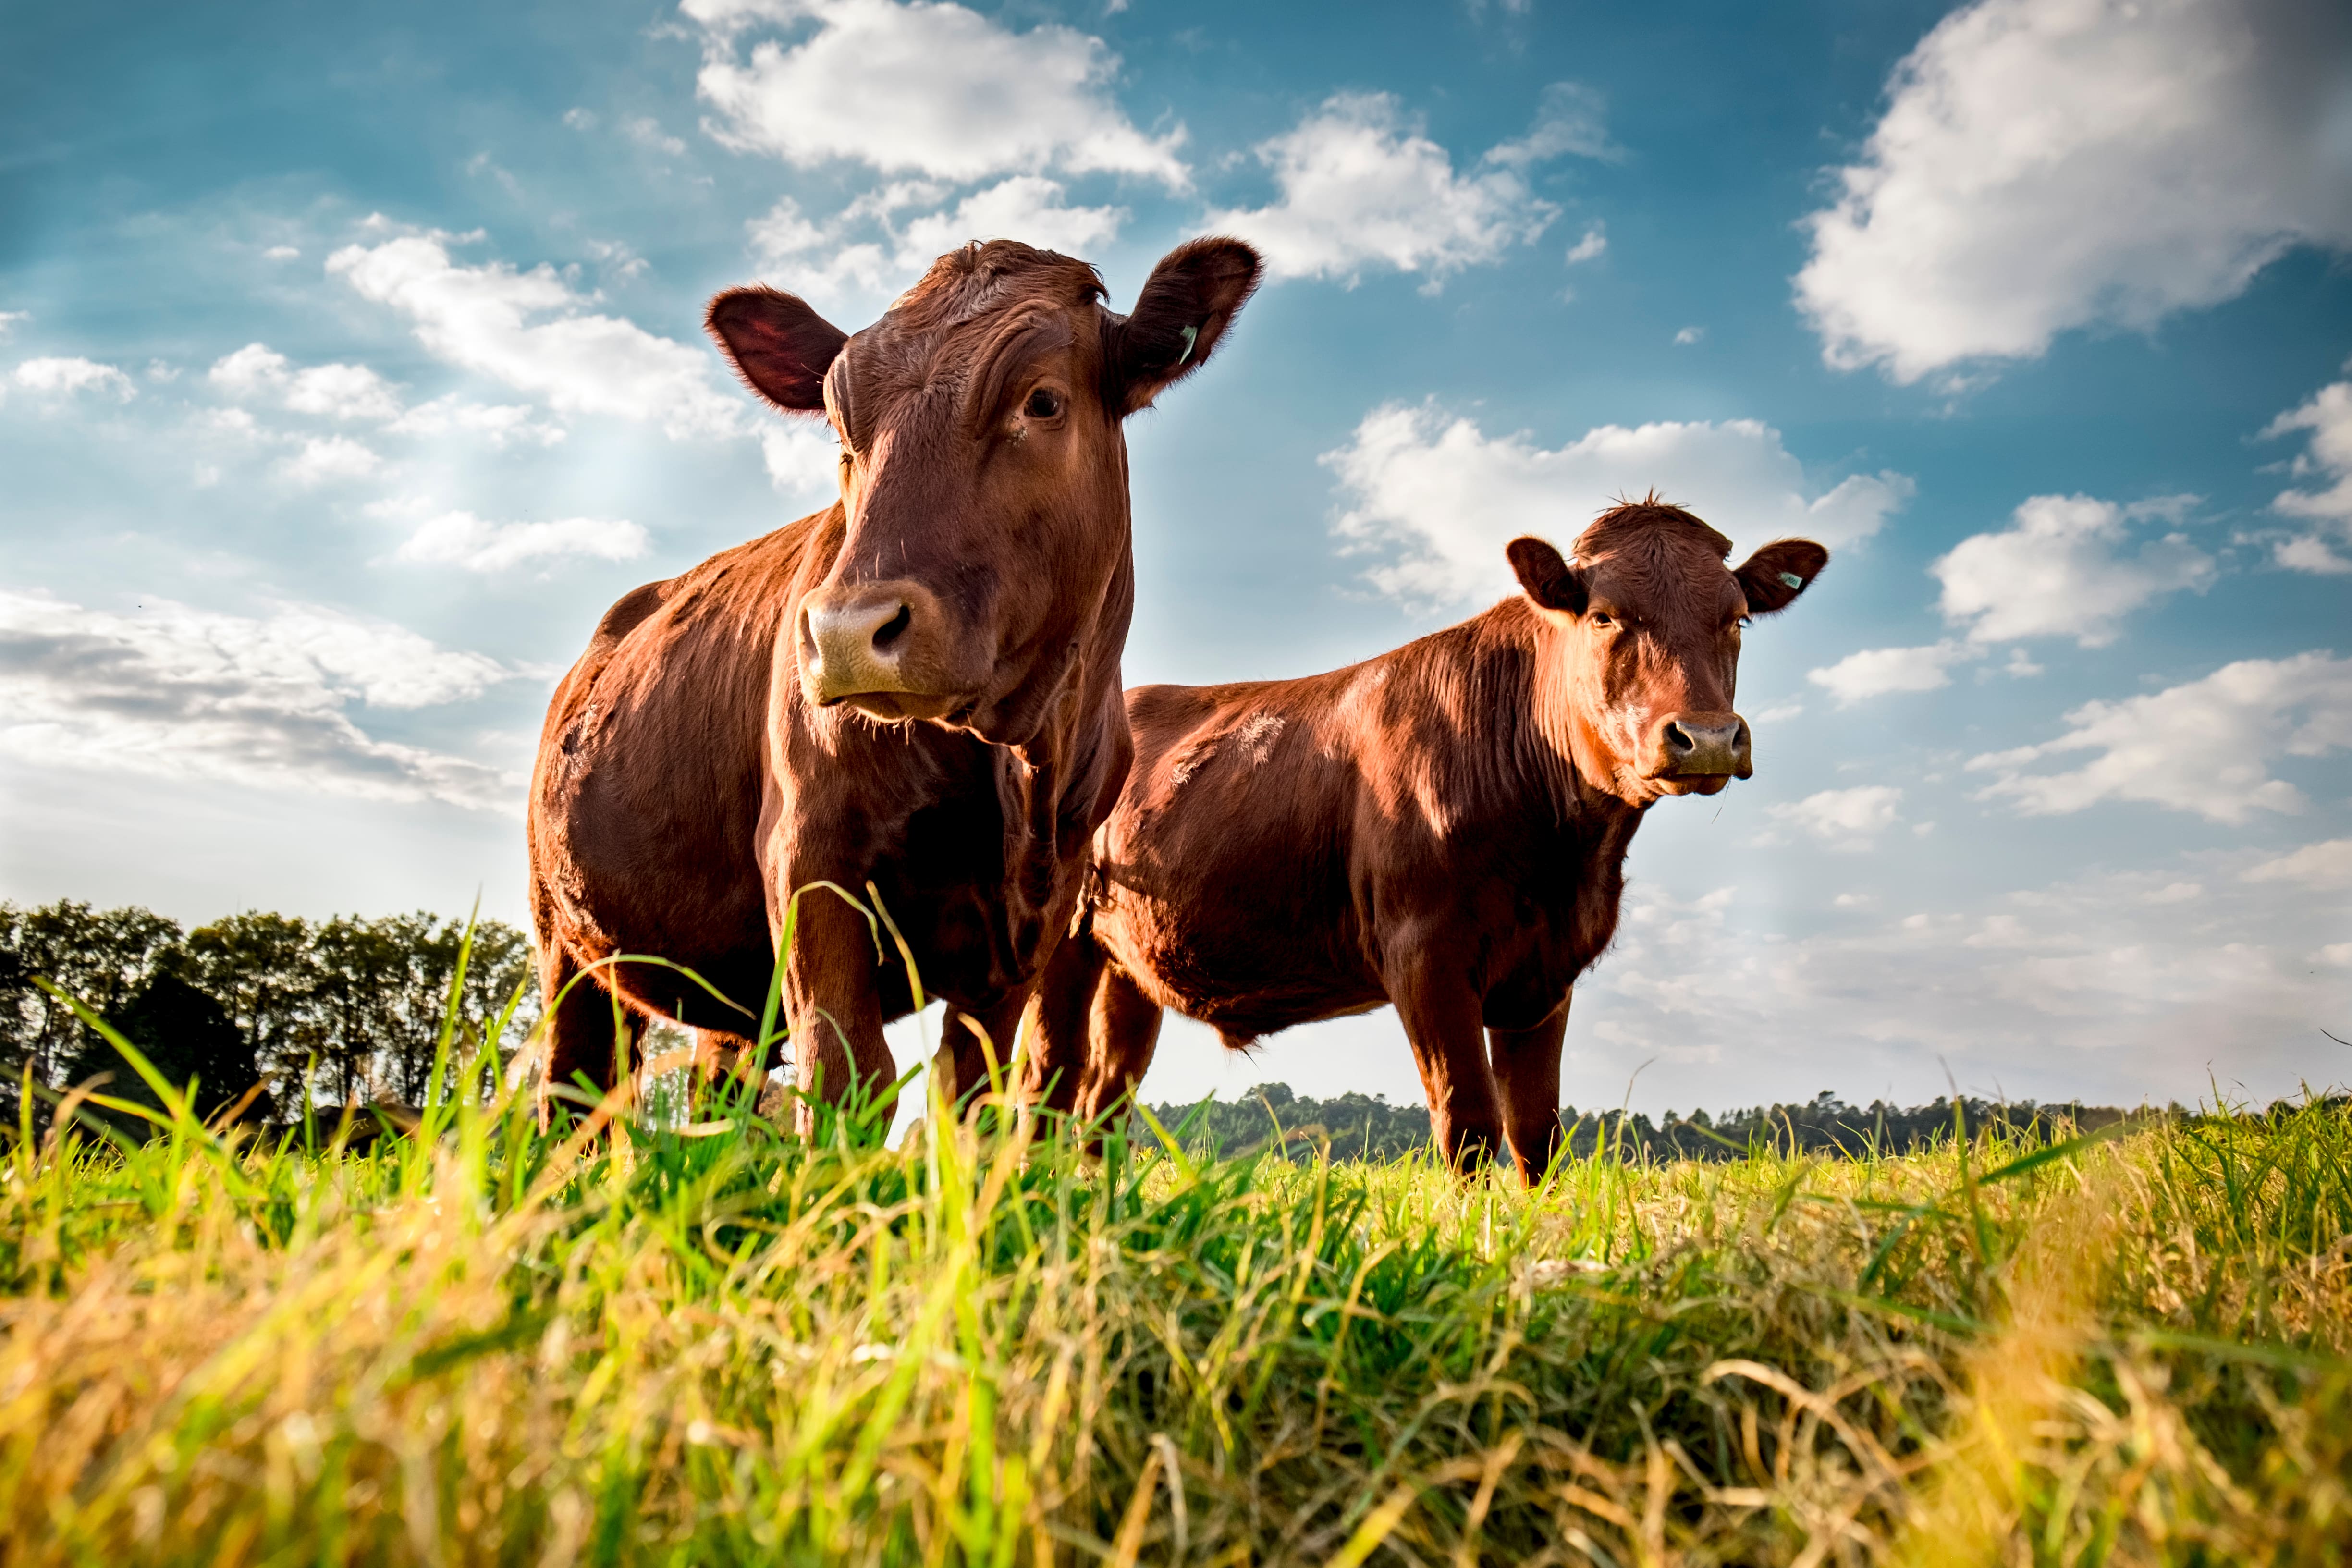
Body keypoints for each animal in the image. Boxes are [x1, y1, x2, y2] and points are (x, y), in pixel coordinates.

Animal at [531, 240, 1261, 1124]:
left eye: (1043, 401)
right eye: (845, 429)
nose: (847, 632)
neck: (1020, 763)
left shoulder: (1033, 922)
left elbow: (971, 1092)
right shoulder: (807, 853)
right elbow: (846, 1074)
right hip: (566, 939)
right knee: (574, 1086)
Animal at [1035, 510, 1834, 1185]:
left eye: (1736, 618)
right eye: (1605, 615)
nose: (1707, 737)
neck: (1567, 860)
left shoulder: (1545, 972)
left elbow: (1536, 1134)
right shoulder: (1424, 952)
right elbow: (1469, 1123)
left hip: (1128, 964)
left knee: (1104, 1101)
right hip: (1060, 940)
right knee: (1048, 1082)